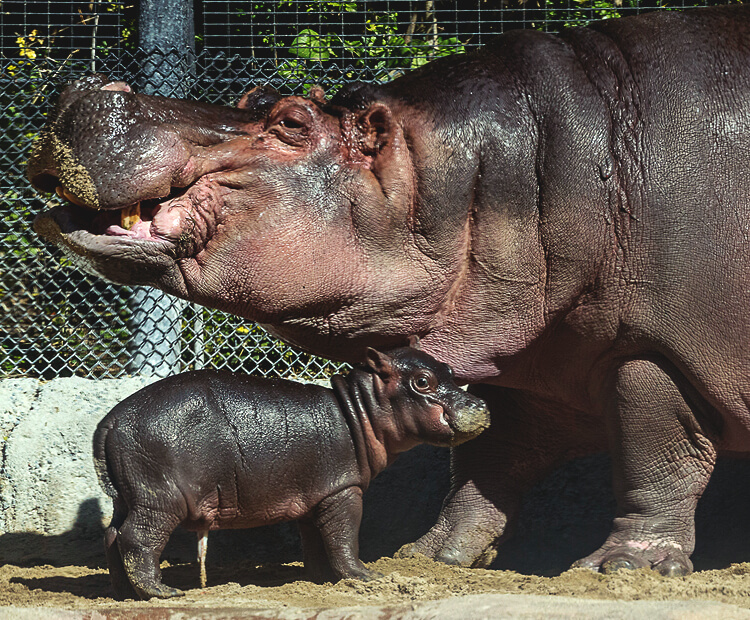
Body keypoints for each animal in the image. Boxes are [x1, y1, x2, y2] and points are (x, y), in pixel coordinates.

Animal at [94, 346, 490, 600]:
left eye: (449, 372)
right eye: (422, 381)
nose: (481, 404)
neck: (359, 410)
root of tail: (111, 421)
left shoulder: (316, 495)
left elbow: (316, 542)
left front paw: (320, 580)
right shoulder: (343, 489)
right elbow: (345, 538)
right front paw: (367, 577)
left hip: (129, 496)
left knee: (113, 536)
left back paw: (123, 595)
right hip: (160, 498)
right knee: (138, 538)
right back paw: (164, 593)